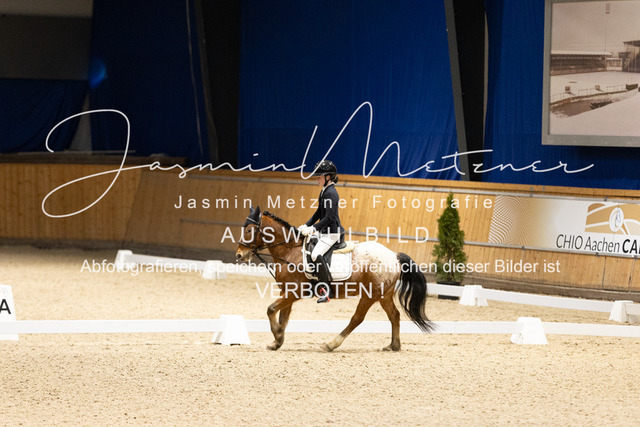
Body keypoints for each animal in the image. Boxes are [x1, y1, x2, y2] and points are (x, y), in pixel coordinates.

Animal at [235, 206, 433, 352]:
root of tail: (394, 255)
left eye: (249, 230)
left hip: (370, 294)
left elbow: (271, 309)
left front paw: (277, 335)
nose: (239, 255)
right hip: (383, 294)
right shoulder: (288, 291)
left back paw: (330, 344)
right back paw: (394, 346)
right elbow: (283, 316)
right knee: (394, 315)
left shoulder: (295, 292)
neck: (290, 251)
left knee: (357, 318)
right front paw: (277, 341)